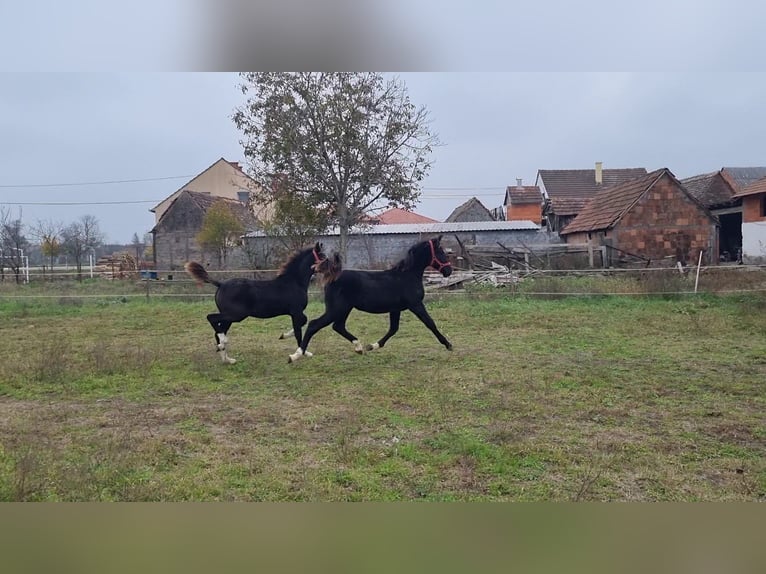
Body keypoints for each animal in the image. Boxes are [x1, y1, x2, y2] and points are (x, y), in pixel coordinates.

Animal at [190, 243, 330, 364]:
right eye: (323, 257)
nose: (331, 268)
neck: (294, 282)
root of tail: (221, 284)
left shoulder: (294, 313)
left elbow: (302, 323)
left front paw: (284, 337)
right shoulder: (296, 312)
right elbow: (299, 330)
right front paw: (302, 352)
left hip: (230, 317)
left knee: (218, 330)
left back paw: (227, 358)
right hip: (236, 315)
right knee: (211, 318)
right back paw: (223, 344)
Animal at [290, 235, 456, 362]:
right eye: (440, 251)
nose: (448, 270)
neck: (407, 276)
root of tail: (332, 277)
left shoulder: (395, 309)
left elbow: (393, 329)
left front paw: (372, 346)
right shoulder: (416, 305)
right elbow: (430, 323)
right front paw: (448, 345)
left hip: (344, 309)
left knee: (338, 326)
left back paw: (359, 347)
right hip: (336, 309)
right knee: (314, 325)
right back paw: (295, 355)